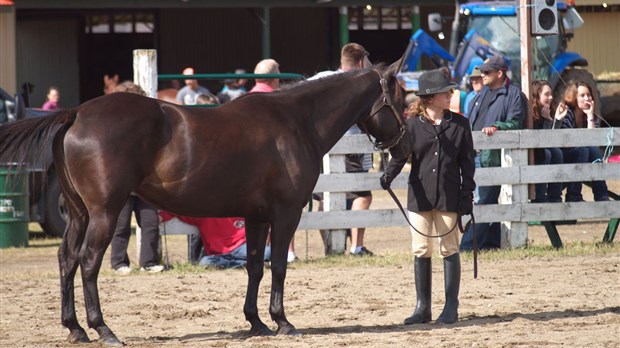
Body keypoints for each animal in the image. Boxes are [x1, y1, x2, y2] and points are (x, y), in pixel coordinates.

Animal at [0, 59, 412, 346]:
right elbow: (279, 266)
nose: (404, 144)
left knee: (66, 259)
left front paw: (256, 321)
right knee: (87, 262)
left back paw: (74, 329)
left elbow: (255, 267)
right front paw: (282, 321)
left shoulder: (256, 217)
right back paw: (103, 329)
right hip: (104, 212)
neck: (296, 121)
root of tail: (76, 113)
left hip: (80, 214)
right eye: (400, 98)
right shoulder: (286, 214)